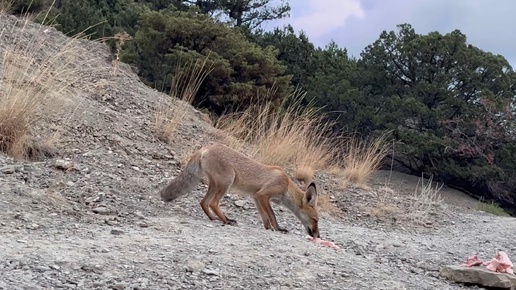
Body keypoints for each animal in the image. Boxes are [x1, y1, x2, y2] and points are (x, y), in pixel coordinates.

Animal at [159, 143, 320, 238]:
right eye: (315, 220)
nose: (318, 236)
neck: (286, 185)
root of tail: (205, 148)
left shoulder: (256, 197)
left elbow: (265, 217)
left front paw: (268, 228)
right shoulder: (263, 195)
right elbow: (273, 216)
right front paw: (278, 229)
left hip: (215, 185)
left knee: (203, 202)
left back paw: (214, 218)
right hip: (226, 183)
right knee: (213, 203)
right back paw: (226, 220)